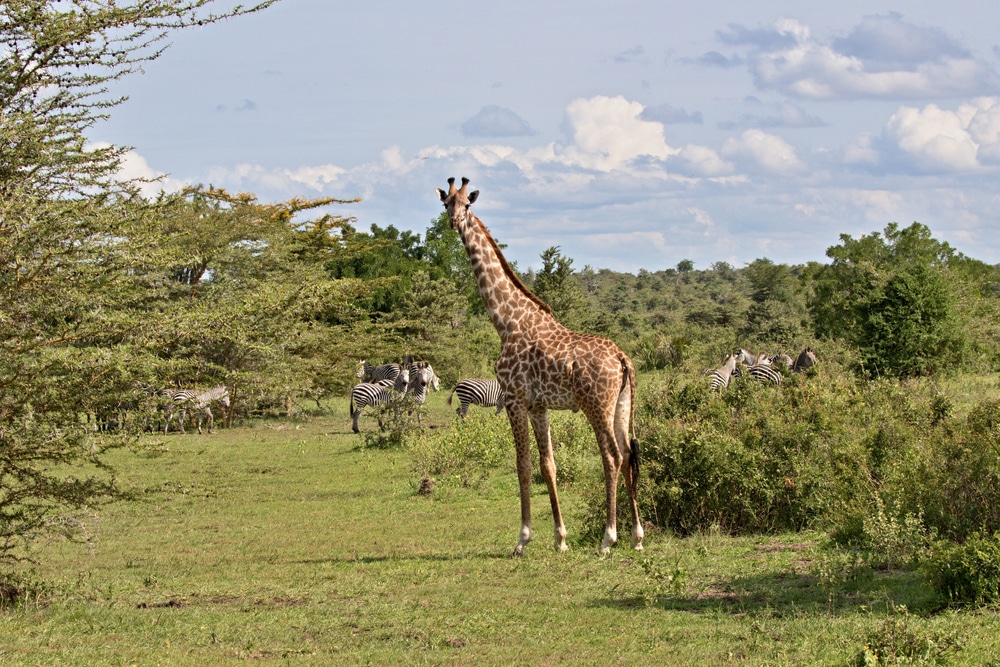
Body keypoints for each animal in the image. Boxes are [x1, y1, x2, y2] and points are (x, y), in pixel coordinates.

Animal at [436, 177, 640, 560]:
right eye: (446, 204)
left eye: (466, 205)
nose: (454, 223)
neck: (506, 321)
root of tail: (623, 359)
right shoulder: (538, 405)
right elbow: (548, 466)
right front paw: (560, 538)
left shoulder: (514, 399)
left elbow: (523, 465)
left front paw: (522, 539)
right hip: (622, 405)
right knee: (630, 453)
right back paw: (637, 535)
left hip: (596, 405)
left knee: (612, 456)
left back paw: (608, 538)